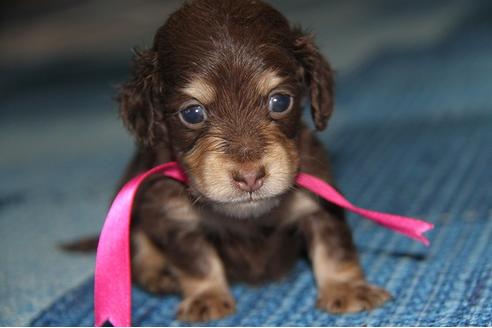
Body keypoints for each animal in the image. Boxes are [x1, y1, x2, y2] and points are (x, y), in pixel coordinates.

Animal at [117, 0, 390, 322]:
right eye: (192, 113)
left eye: (280, 101)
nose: (250, 177)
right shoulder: (177, 218)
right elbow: (197, 262)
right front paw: (207, 297)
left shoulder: (319, 201)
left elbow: (334, 248)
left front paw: (346, 289)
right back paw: (157, 273)